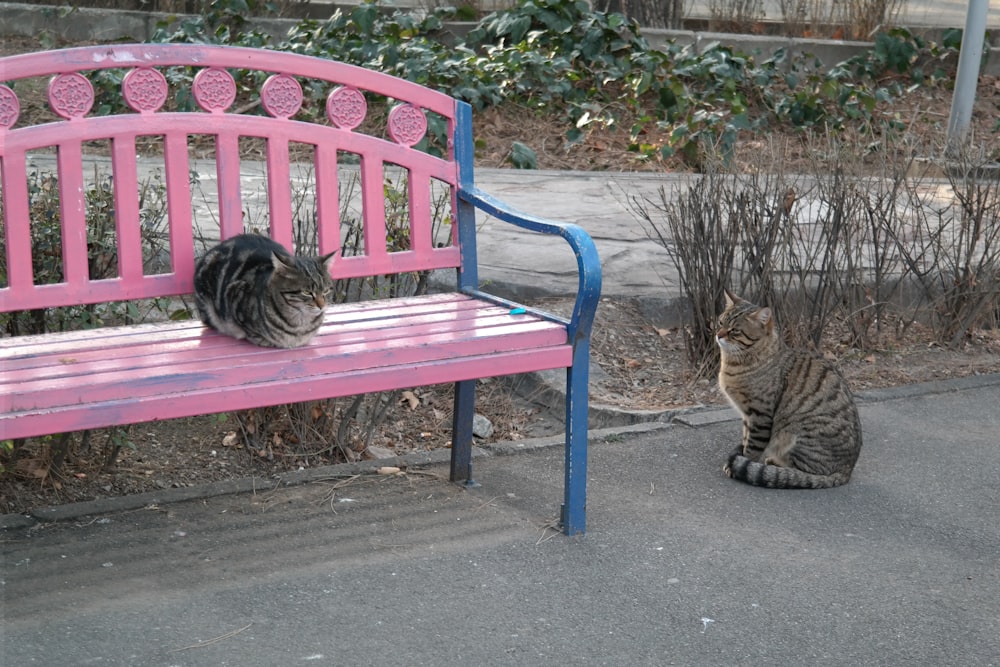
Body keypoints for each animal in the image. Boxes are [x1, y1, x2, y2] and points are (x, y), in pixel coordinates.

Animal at [716, 292, 864, 490]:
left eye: (735, 331)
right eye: (720, 322)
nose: (718, 335)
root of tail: (847, 471)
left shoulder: (759, 415)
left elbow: (752, 447)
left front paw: (739, 464)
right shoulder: (747, 416)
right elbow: (746, 438)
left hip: (798, 436)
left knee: (803, 473)